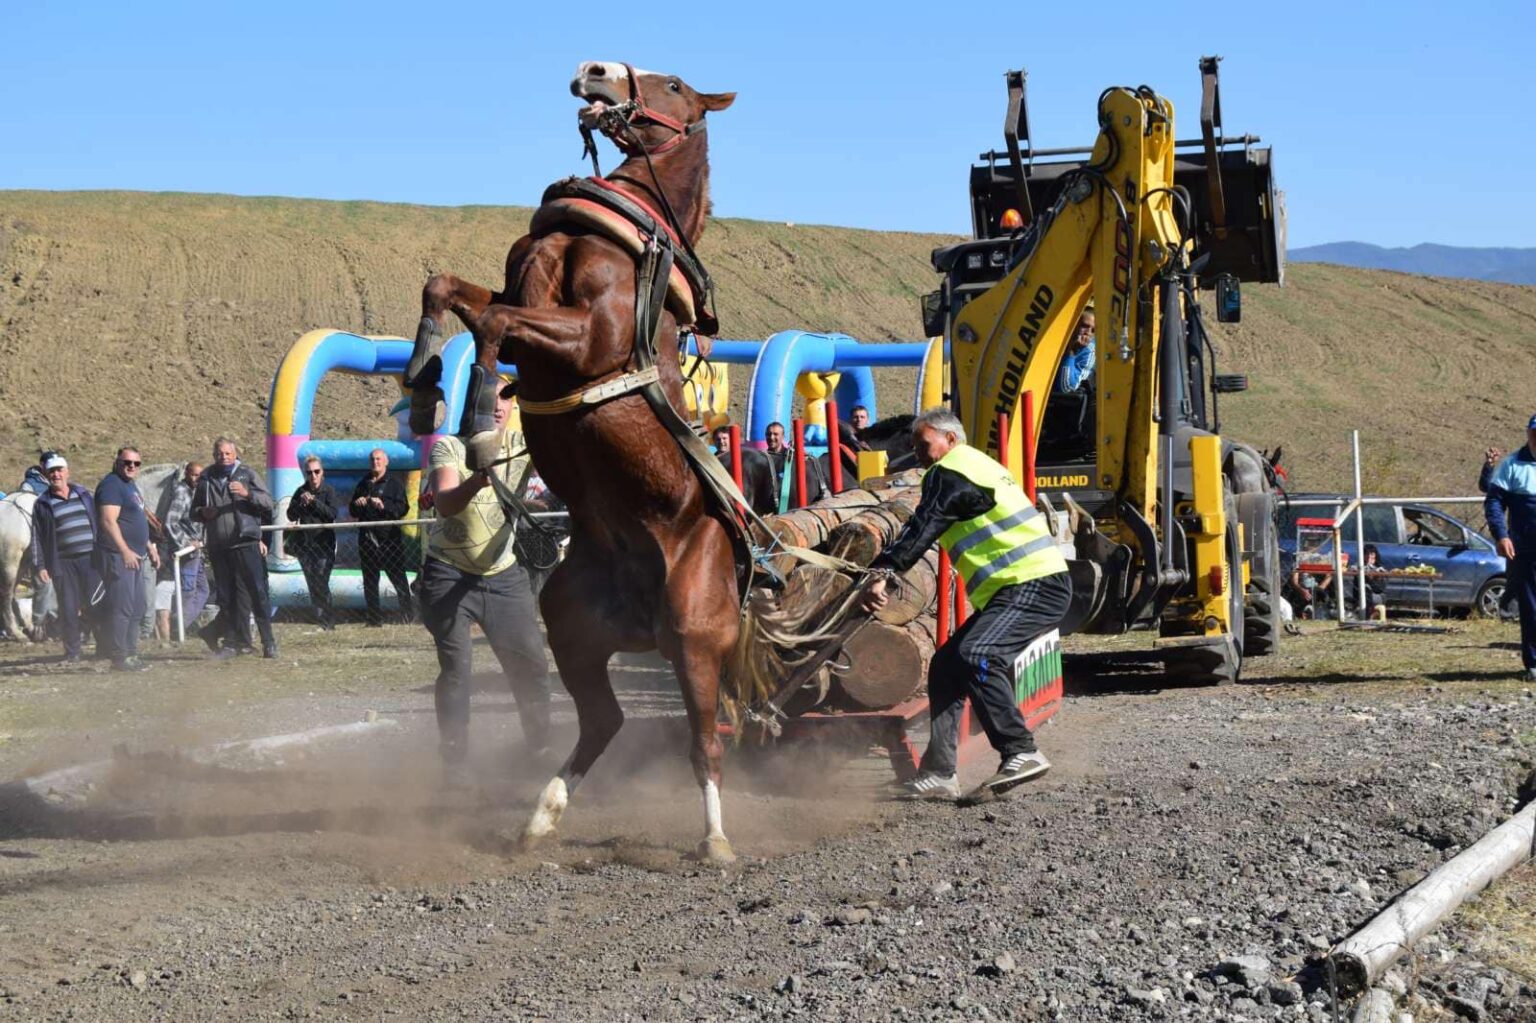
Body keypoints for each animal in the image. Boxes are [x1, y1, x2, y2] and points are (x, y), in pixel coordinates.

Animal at [405, 61, 740, 860]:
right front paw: (426, 375)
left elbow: (495, 322)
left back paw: (715, 838)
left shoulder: (588, 336)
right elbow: (451, 290)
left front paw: (482, 420)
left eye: (673, 84)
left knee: (704, 740)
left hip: (695, 637)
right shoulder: (512, 291)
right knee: (603, 722)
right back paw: (540, 813)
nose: (594, 70)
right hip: (570, 629)